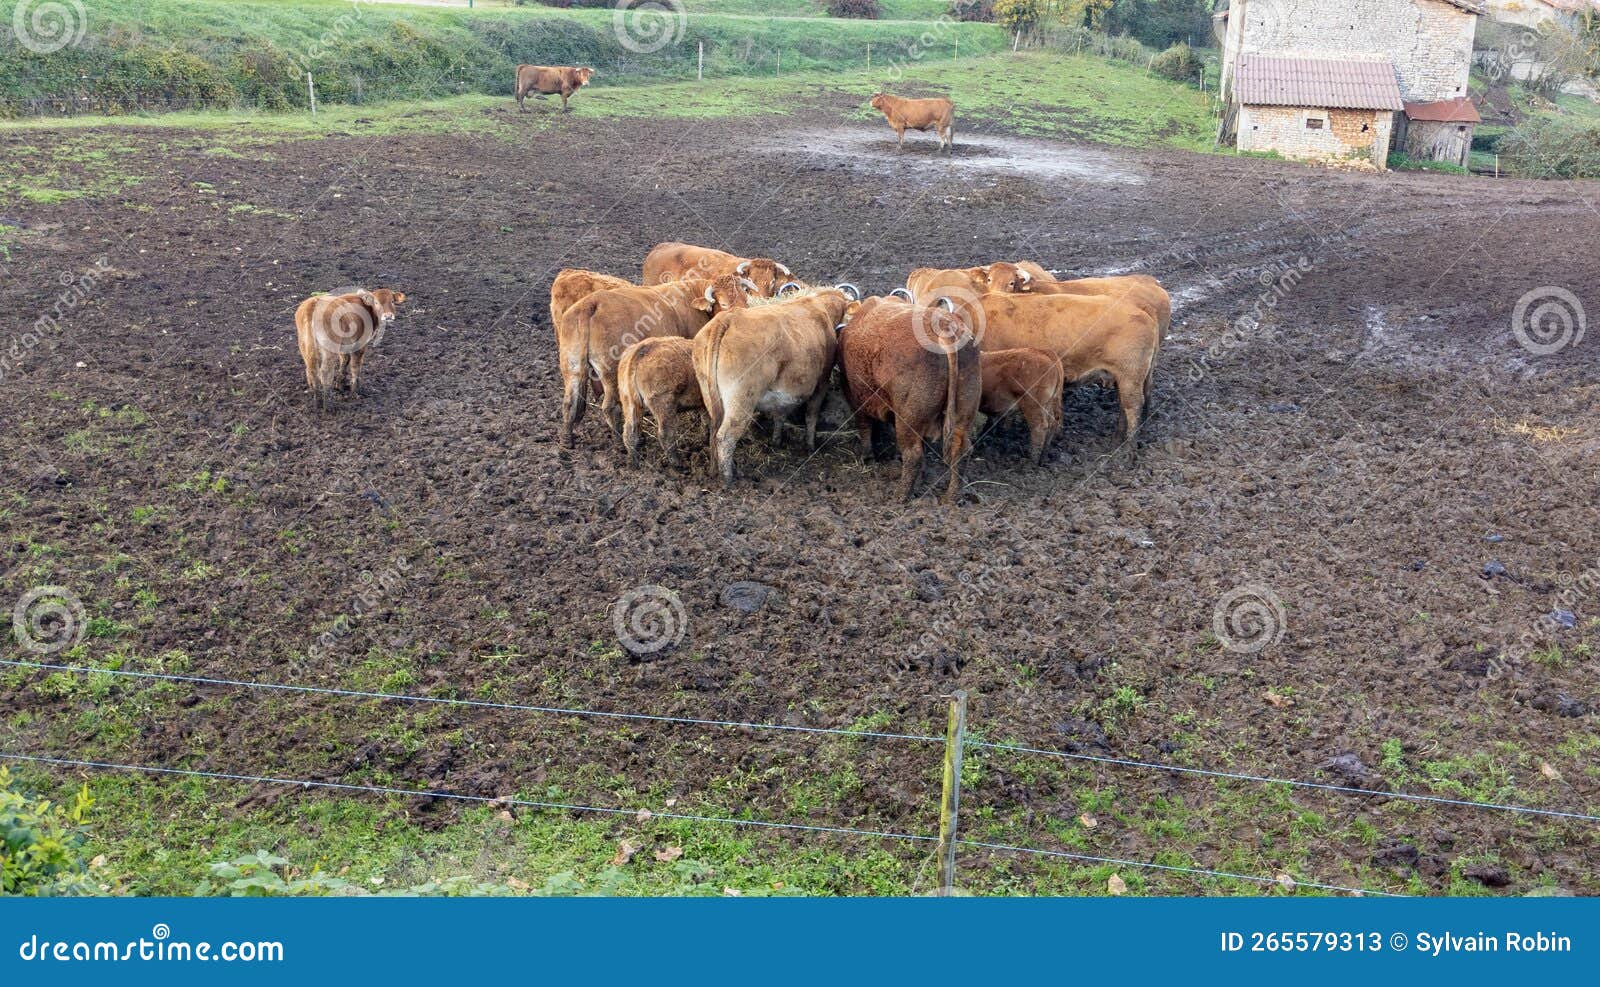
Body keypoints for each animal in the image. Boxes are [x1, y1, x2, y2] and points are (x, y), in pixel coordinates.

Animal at [557, 278, 734, 447]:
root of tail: (592, 303)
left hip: (572, 368)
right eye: (723, 304)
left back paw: (567, 440)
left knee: (569, 403)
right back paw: (619, 444)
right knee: (611, 408)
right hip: (611, 373)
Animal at [617, 276, 756, 467]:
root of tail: (641, 351)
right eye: (724, 304)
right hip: (664, 405)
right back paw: (677, 463)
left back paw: (634, 461)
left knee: (630, 433)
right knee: (666, 435)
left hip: (630, 402)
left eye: (746, 298)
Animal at [694, 287, 854, 486]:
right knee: (725, 436)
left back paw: (716, 469)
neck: (820, 308)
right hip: (741, 399)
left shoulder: (781, 392)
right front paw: (810, 445)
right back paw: (728, 478)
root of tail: (728, 318)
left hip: (710, 394)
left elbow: (780, 413)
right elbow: (811, 415)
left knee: (714, 430)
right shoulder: (821, 383)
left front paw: (777, 441)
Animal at [836, 297, 981, 503]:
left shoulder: (857, 399)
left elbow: (864, 428)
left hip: (908, 418)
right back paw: (950, 498)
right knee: (960, 451)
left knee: (913, 454)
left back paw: (900, 495)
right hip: (963, 413)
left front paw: (866, 456)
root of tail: (946, 325)